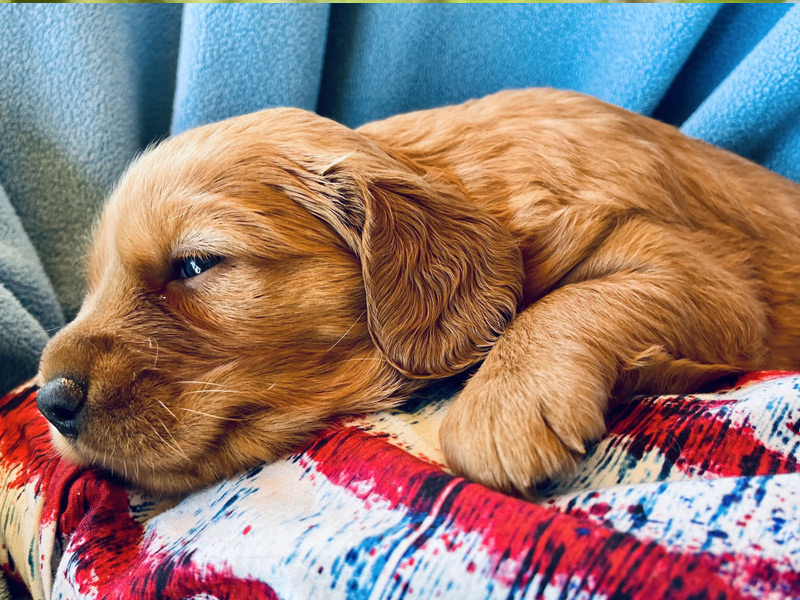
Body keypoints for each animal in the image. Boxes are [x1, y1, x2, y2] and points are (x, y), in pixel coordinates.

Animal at [36, 86, 800, 494]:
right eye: (93, 284)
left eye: (195, 265)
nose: (49, 401)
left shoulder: (711, 276)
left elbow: (568, 302)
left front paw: (502, 405)